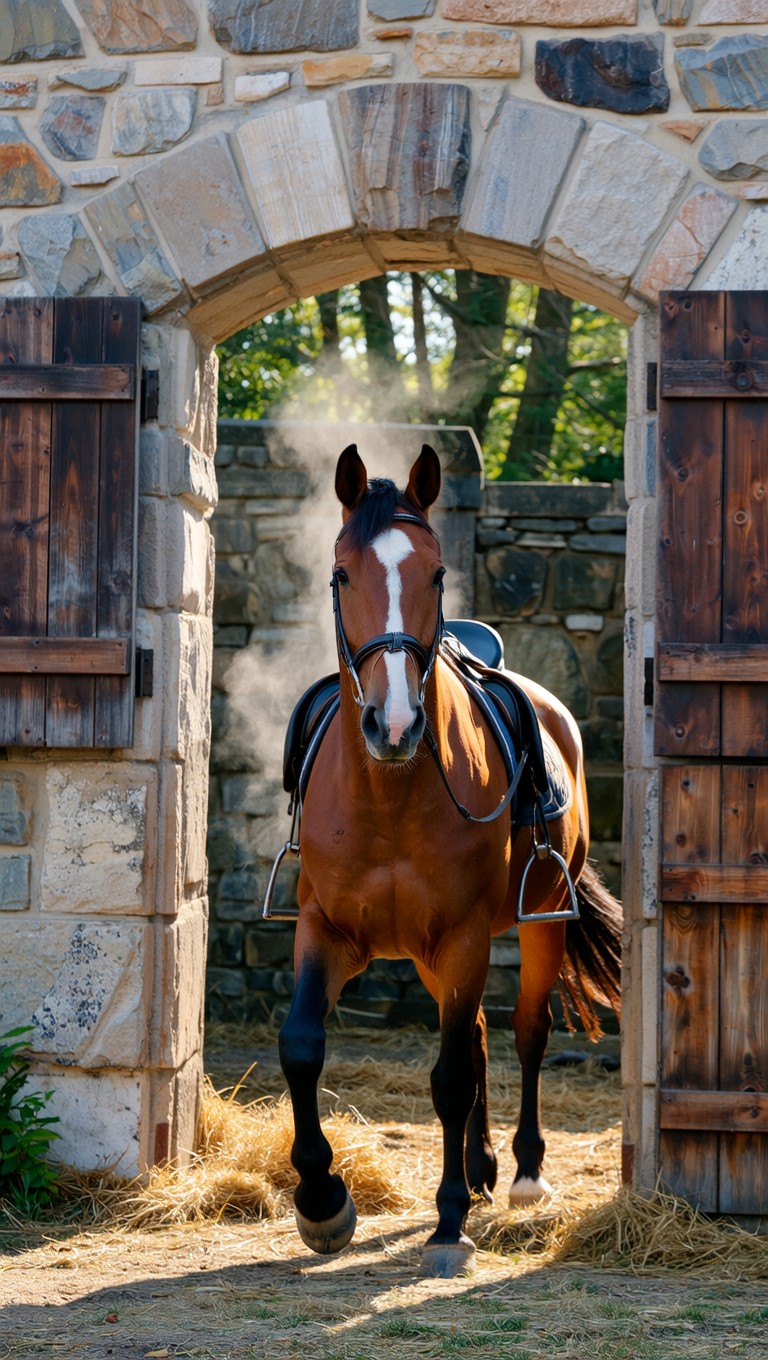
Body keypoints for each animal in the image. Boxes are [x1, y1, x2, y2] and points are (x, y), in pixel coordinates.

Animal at [276, 443, 623, 1278]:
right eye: (341, 573)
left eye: (435, 574)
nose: (395, 723)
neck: (390, 795)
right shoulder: (325, 929)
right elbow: (302, 1046)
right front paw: (323, 1202)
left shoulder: (464, 936)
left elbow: (451, 1076)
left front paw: (447, 1220)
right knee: (478, 1035)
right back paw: (482, 1166)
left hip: (536, 924)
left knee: (524, 1031)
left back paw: (522, 1172)